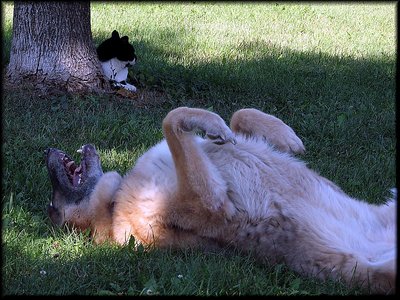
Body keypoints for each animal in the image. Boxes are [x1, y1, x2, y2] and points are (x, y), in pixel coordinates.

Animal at [45, 106, 396, 294]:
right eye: (52, 207)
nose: (47, 151)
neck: (114, 204)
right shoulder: (208, 202)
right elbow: (171, 119)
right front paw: (212, 124)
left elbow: (237, 118)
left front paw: (284, 135)